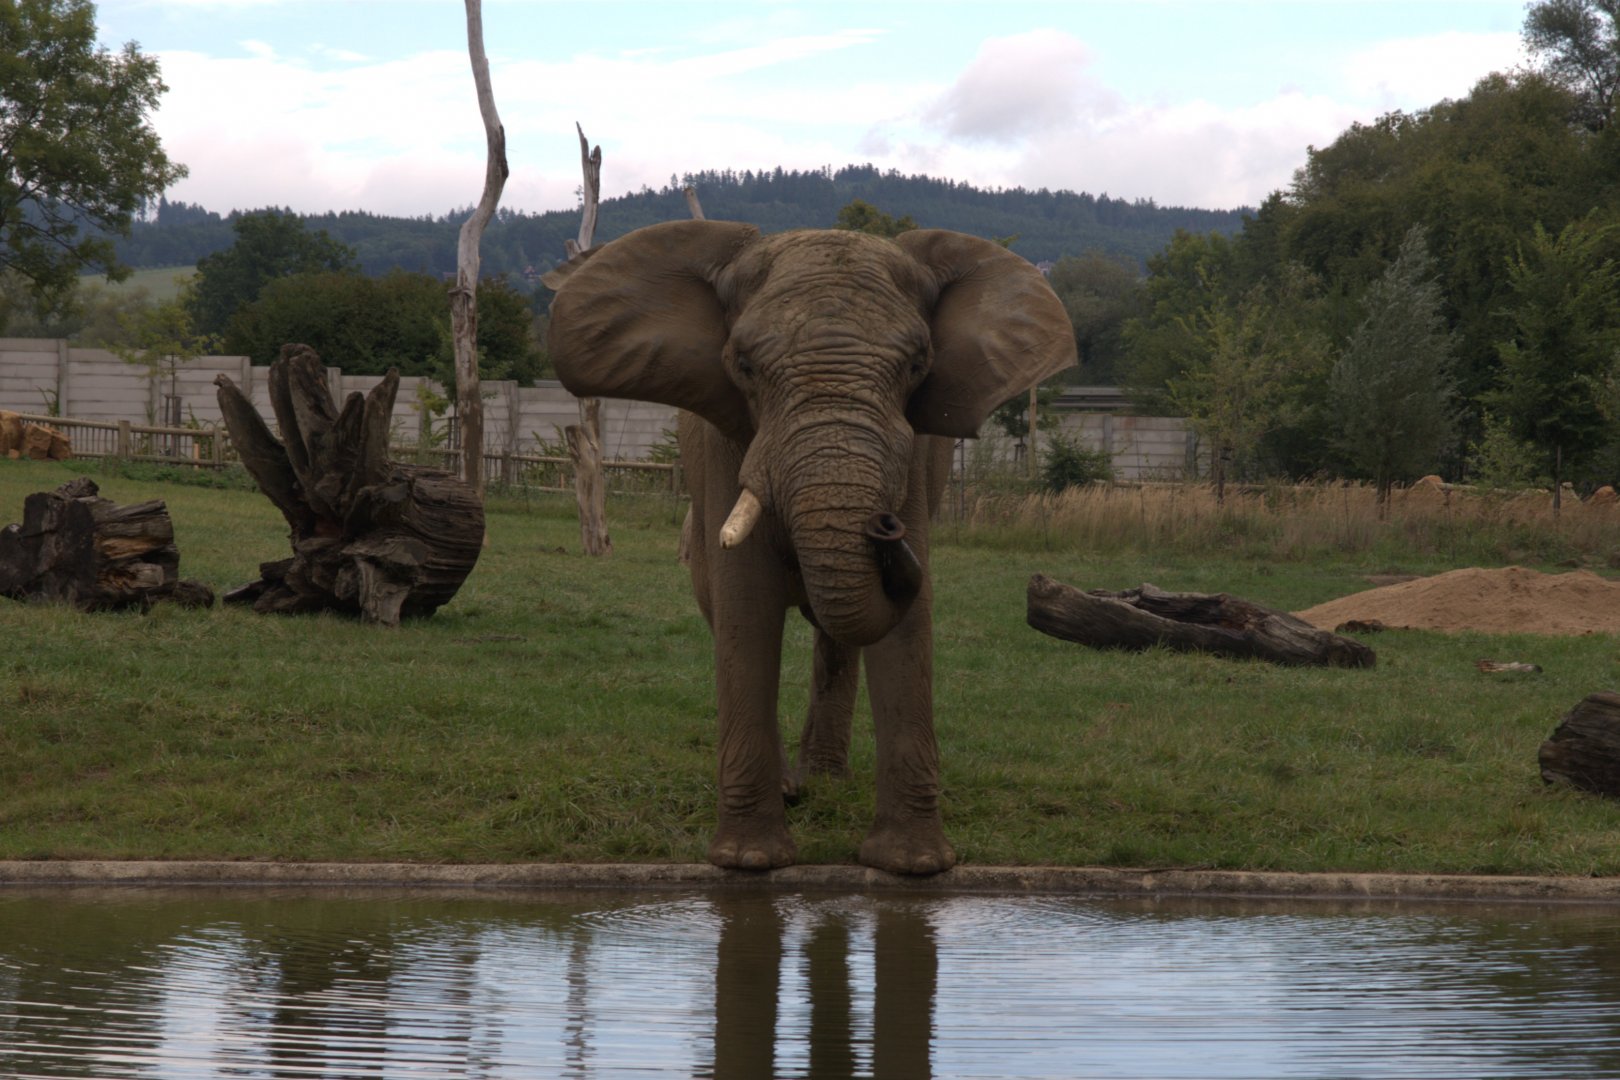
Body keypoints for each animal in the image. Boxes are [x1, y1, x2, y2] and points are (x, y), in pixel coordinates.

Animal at [544, 220, 1076, 874]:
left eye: (917, 364)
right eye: (743, 365)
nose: (883, 529)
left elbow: (909, 628)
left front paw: (913, 865)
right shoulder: (726, 441)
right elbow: (745, 604)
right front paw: (750, 860)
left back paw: (822, 783)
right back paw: (793, 789)